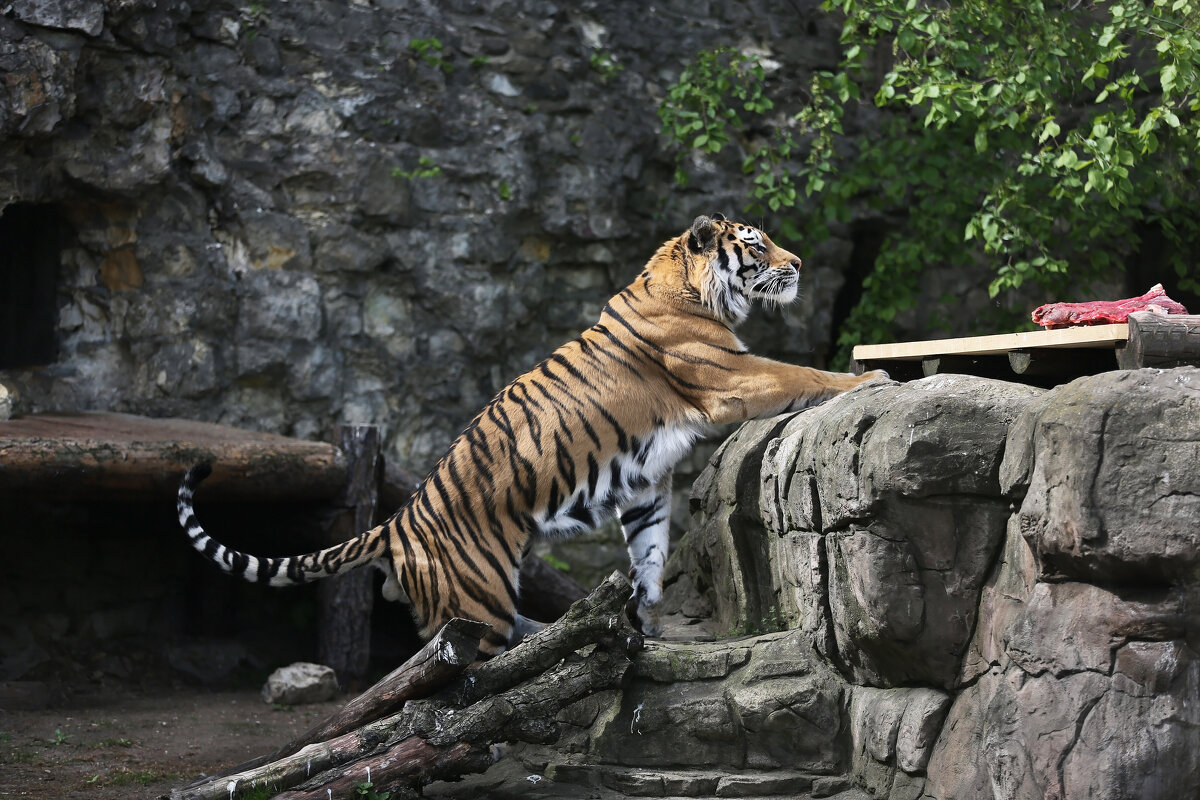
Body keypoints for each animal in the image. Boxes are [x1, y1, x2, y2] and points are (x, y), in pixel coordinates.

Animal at [177, 214, 892, 657]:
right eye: (758, 245)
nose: (798, 263)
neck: (689, 288)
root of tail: (394, 524)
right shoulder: (733, 377)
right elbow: (802, 372)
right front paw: (871, 375)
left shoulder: (646, 484)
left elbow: (650, 552)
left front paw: (644, 616)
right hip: (477, 603)